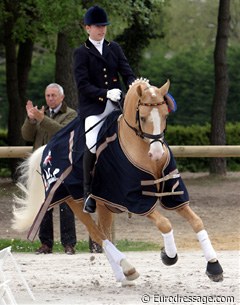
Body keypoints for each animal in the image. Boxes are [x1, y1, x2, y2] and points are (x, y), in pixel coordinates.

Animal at [11, 78, 223, 282]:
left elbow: (197, 222)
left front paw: (214, 266)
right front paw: (168, 255)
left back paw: (123, 274)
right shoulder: (136, 199)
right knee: (98, 235)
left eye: (165, 115)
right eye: (143, 117)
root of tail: (46, 148)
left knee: (104, 234)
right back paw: (127, 268)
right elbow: (165, 224)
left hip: (104, 204)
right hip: (74, 201)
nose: (157, 153)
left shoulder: (174, 193)